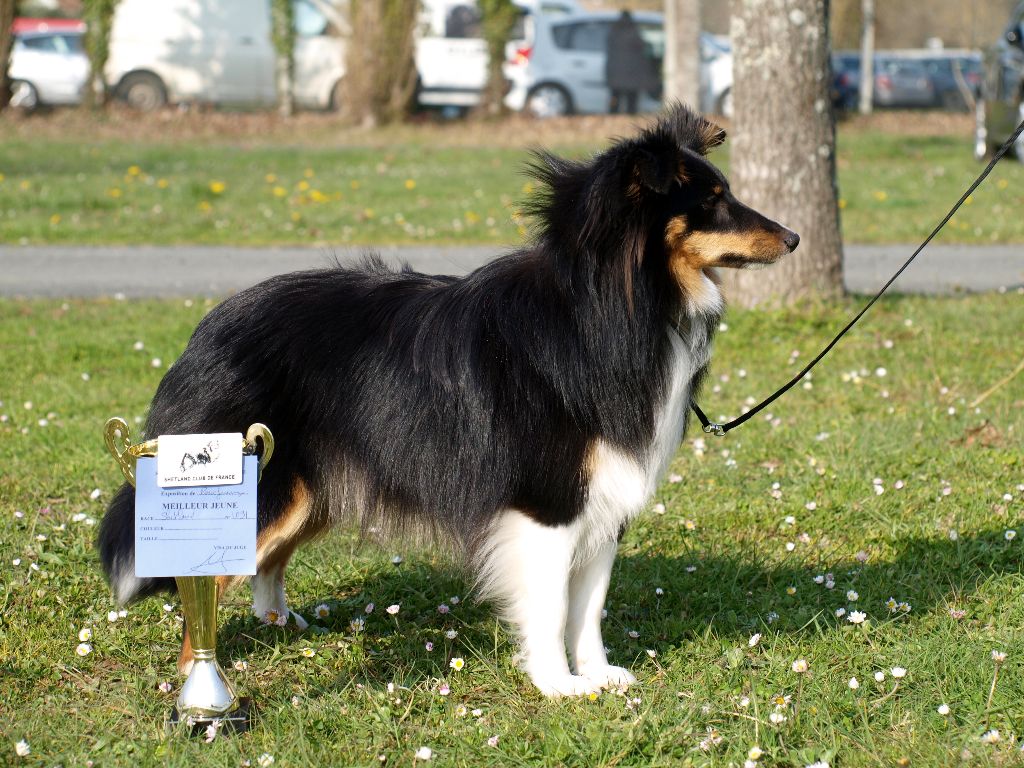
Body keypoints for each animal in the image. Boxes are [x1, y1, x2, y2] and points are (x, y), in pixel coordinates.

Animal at [97, 105, 798, 700]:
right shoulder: (546, 502)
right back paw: (198, 678)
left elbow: (589, 605)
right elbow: (549, 606)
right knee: (207, 573)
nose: (793, 237)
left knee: (264, 562)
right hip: (256, 483)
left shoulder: (603, 499)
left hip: (311, 489)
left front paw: (598, 675)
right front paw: (557, 686)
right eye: (713, 201)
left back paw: (280, 626)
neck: (610, 306)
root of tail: (207, 327)